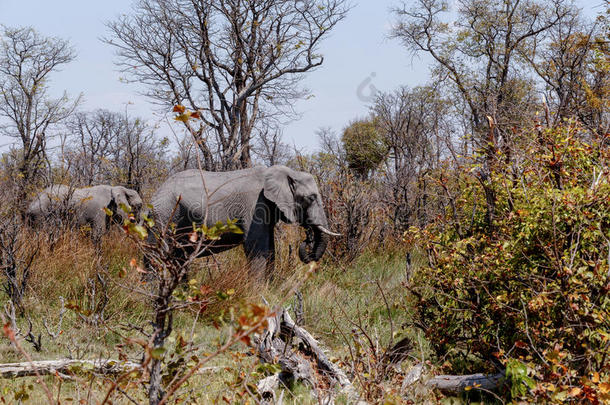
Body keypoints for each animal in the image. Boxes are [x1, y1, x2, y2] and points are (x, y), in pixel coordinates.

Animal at [147, 164, 338, 278]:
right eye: (311, 198)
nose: (307, 239)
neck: (285, 172)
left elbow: (270, 249)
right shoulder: (254, 205)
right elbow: (257, 247)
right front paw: (257, 293)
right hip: (164, 215)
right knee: (158, 256)